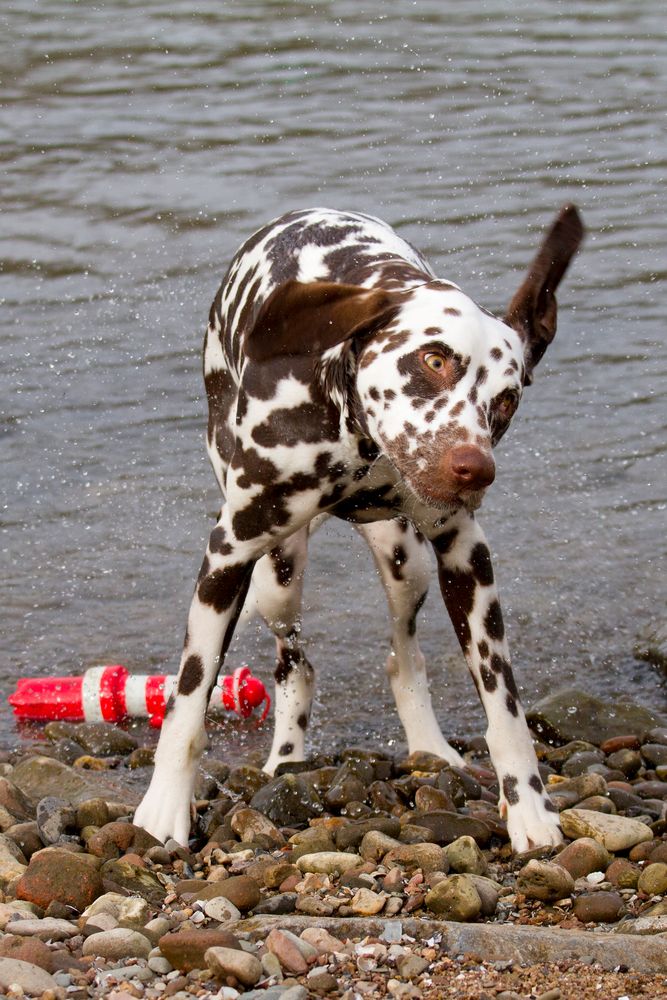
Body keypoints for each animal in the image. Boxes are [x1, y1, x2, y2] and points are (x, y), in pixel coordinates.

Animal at [134, 203, 584, 852]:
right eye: (434, 360)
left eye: (505, 401)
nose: (474, 467)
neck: (358, 442)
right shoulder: (227, 556)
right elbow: (188, 700)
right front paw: (165, 805)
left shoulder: (467, 560)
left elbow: (504, 708)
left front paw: (529, 809)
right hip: (278, 575)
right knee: (294, 662)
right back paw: (286, 756)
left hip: (406, 562)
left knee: (403, 655)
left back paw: (427, 747)